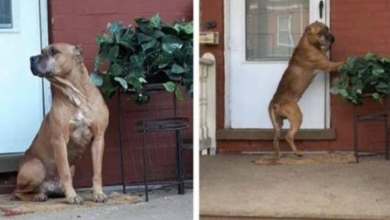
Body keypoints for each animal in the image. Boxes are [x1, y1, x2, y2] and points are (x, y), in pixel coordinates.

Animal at [13, 43, 109, 205]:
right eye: (42, 51)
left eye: (53, 51)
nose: (32, 58)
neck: (76, 95)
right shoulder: (59, 140)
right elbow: (64, 173)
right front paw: (72, 196)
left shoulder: (99, 138)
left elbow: (97, 171)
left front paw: (98, 193)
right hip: (36, 166)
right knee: (18, 193)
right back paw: (38, 196)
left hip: (72, 166)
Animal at [266, 21, 344, 160]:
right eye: (320, 33)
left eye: (327, 29)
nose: (332, 38)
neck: (308, 42)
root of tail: (276, 102)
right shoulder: (329, 65)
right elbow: (341, 63)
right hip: (297, 116)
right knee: (289, 136)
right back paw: (297, 152)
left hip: (278, 124)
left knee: (275, 140)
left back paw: (279, 155)